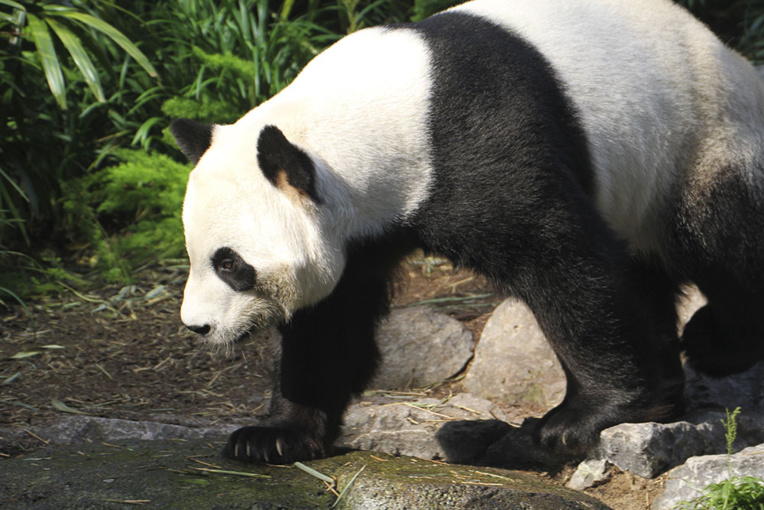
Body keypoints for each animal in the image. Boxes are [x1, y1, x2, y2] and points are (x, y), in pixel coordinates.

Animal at [171, 0, 764, 464]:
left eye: (230, 263)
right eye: (196, 256)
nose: (198, 327)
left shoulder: (477, 146)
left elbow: (563, 262)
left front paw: (581, 418)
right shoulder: (360, 233)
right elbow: (330, 321)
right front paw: (271, 436)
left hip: (700, 138)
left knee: (720, 240)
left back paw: (714, 343)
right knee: (648, 272)